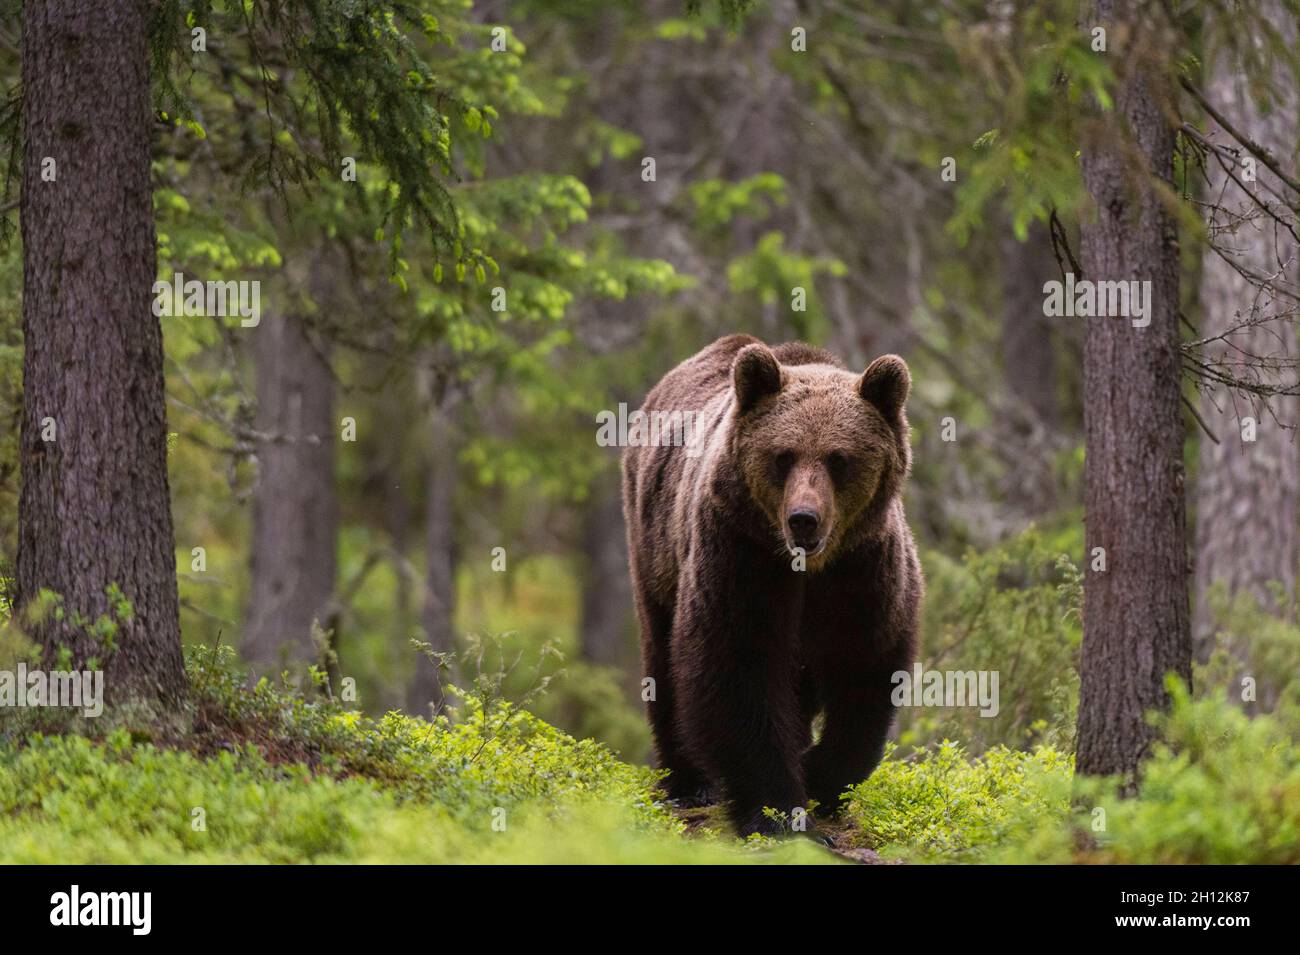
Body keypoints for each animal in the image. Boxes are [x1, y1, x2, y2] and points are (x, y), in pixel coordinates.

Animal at [621, 334, 922, 836]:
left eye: (839, 459)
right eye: (784, 455)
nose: (803, 518)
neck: (809, 567)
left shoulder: (863, 568)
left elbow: (865, 669)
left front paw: (820, 779)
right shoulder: (742, 552)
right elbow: (738, 666)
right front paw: (776, 809)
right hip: (654, 548)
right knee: (662, 654)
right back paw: (688, 781)